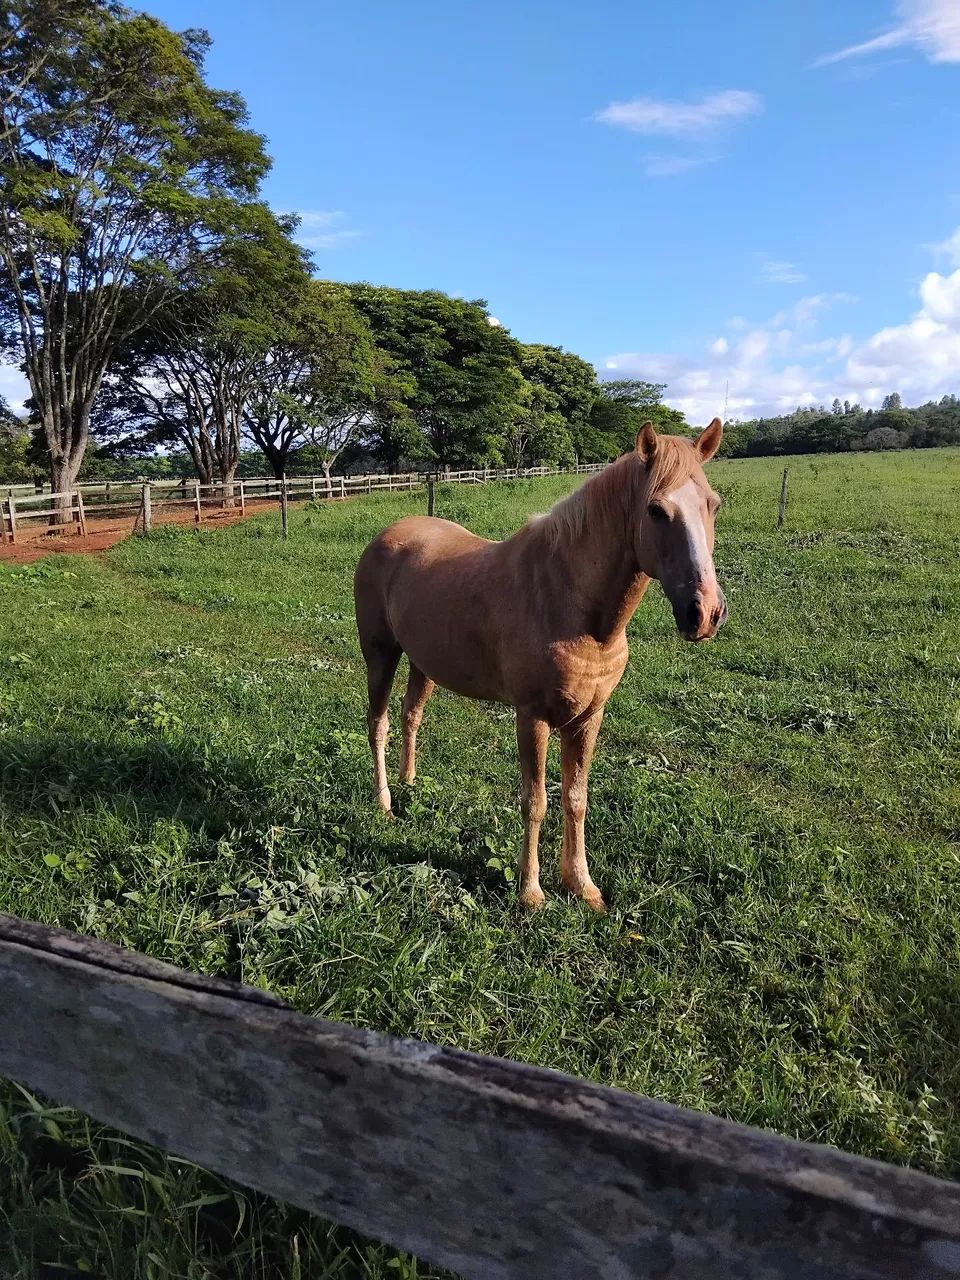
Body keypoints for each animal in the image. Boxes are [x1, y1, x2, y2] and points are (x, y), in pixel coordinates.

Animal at [353, 419, 726, 912]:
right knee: (377, 723)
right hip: (380, 653)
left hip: (422, 662)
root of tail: (388, 535)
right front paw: (530, 892)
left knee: (410, 714)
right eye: (656, 511)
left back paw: (410, 782)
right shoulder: (533, 718)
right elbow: (535, 801)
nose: (704, 614)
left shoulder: (588, 718)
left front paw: (582, 885)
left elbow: (575, 799)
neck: (570, 604)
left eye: (713, 505)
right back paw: (384, 802)